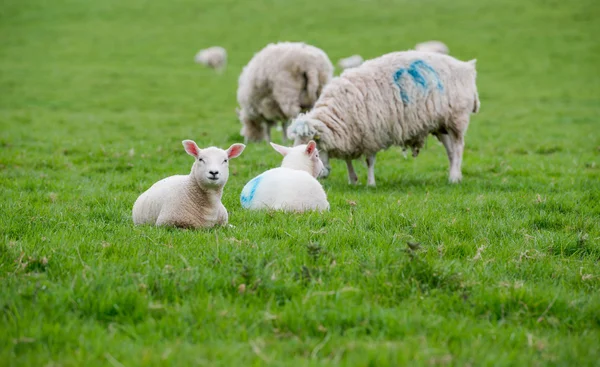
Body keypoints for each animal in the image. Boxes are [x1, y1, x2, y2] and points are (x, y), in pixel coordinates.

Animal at [288, 49, 480, 187]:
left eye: (314, 147)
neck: (338, 112)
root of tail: (467, 68)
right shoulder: (352, 135)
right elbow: (348, 159)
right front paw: (353, 180)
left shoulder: (371, 134)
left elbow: (369, 161)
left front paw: (371, 184)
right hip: (441, 124)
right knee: (451, 151)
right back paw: (454, 174)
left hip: (456, 119)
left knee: (458, 147)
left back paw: (454, 178)